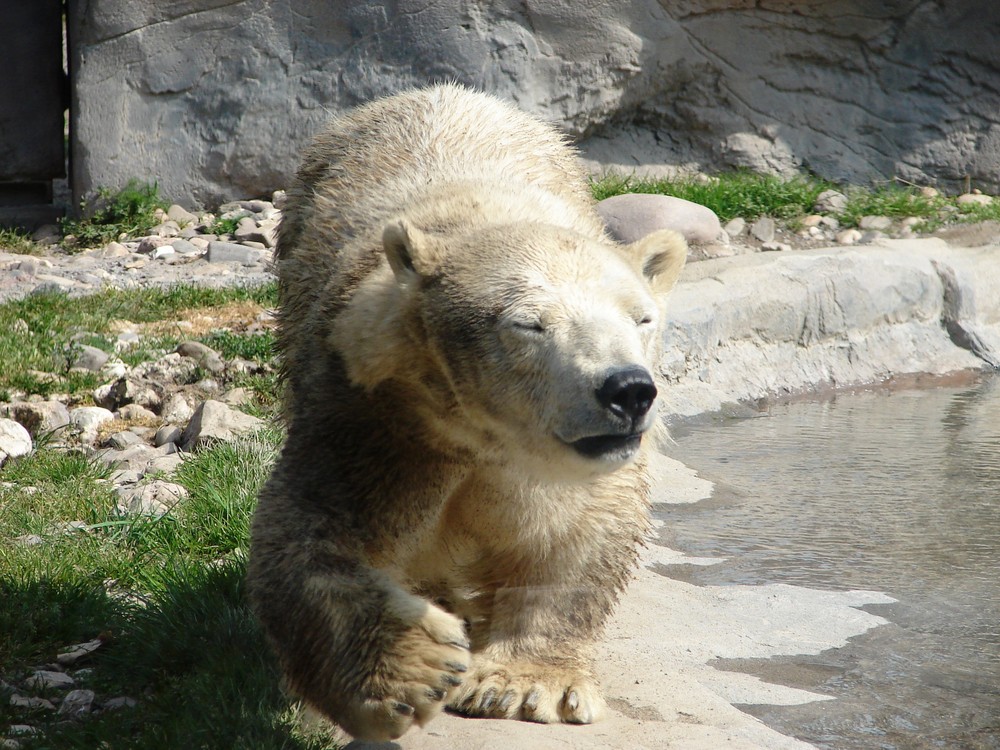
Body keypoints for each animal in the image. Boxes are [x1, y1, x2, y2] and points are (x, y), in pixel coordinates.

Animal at [250, 85, 688, 744]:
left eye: (641, 318)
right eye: (529, 324)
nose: (628, 390)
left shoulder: (574, 469)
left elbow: (579, 536)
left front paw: (526, 684)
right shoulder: (375, 415)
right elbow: (312, 531)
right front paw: (407, 675)